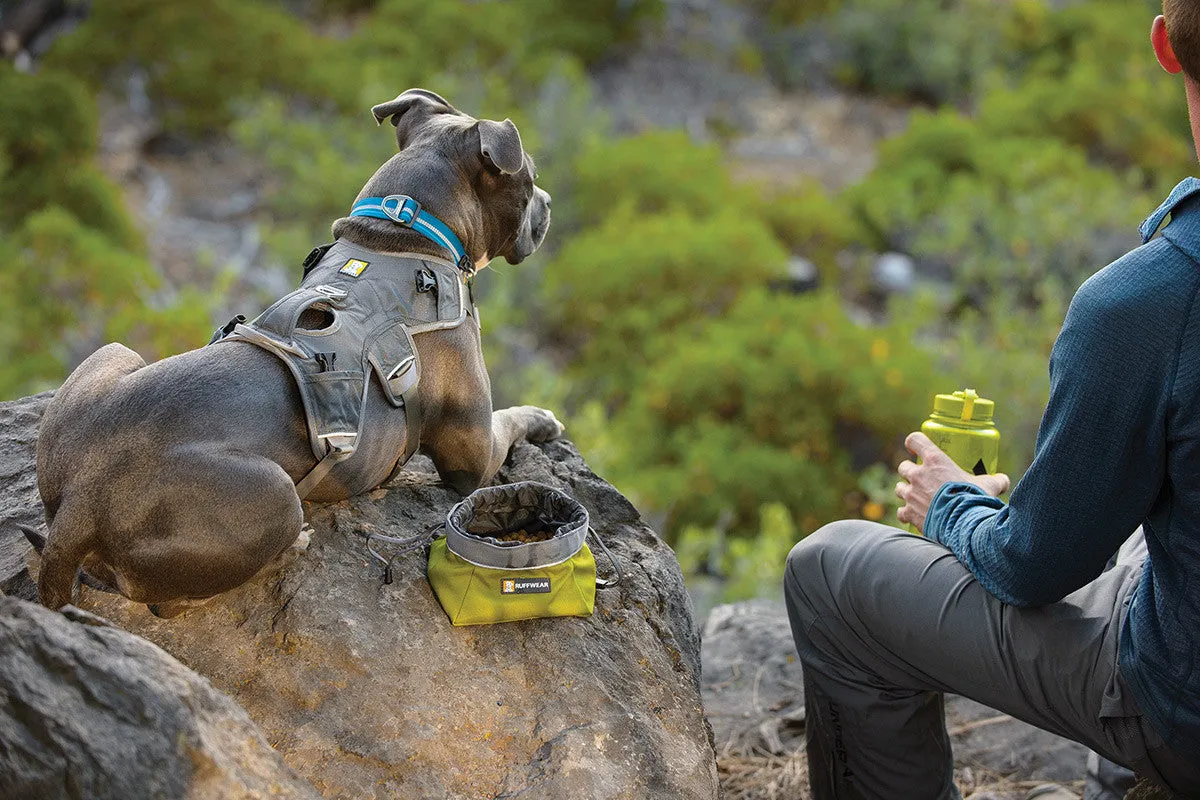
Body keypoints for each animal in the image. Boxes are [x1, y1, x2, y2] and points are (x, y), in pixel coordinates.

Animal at [28, 87, 561, 618]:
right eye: (531, 177)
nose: (550, 202)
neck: (406, 234)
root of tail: (80, 504)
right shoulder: (473, 459)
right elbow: (511, 418)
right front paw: (543, 417)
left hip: (112, 355)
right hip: (277, 494)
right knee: (169, 601)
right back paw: (295, 545)